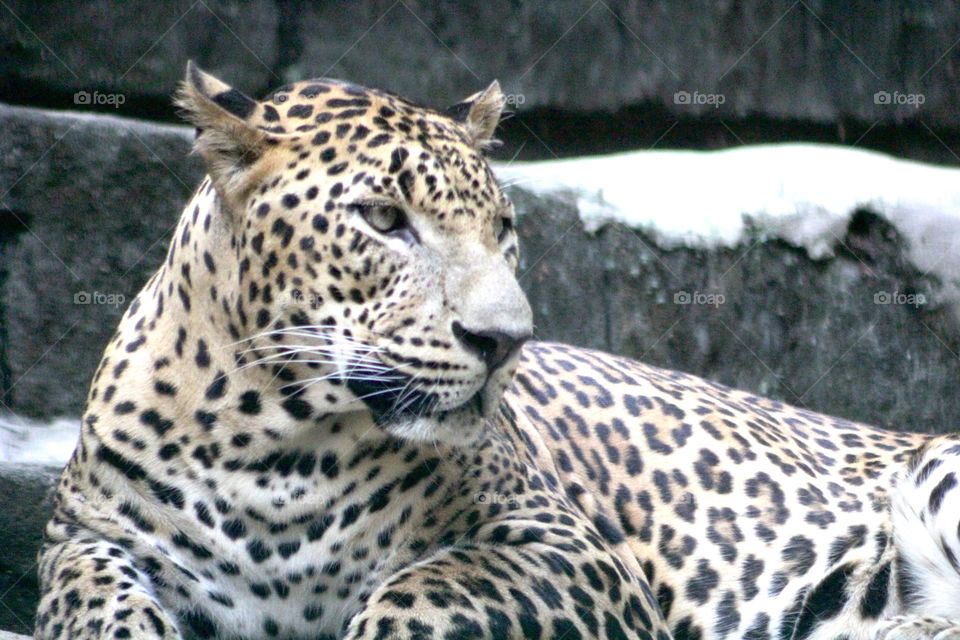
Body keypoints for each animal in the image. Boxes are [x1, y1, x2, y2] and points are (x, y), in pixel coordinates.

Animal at [34, 61, 960, 640]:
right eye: (383, 218)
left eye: (502, 227)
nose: (506, 341)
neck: (276, 451)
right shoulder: (80, 537)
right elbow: (95, 602)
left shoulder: (569, 552)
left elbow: (417, 591)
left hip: (934, 472)